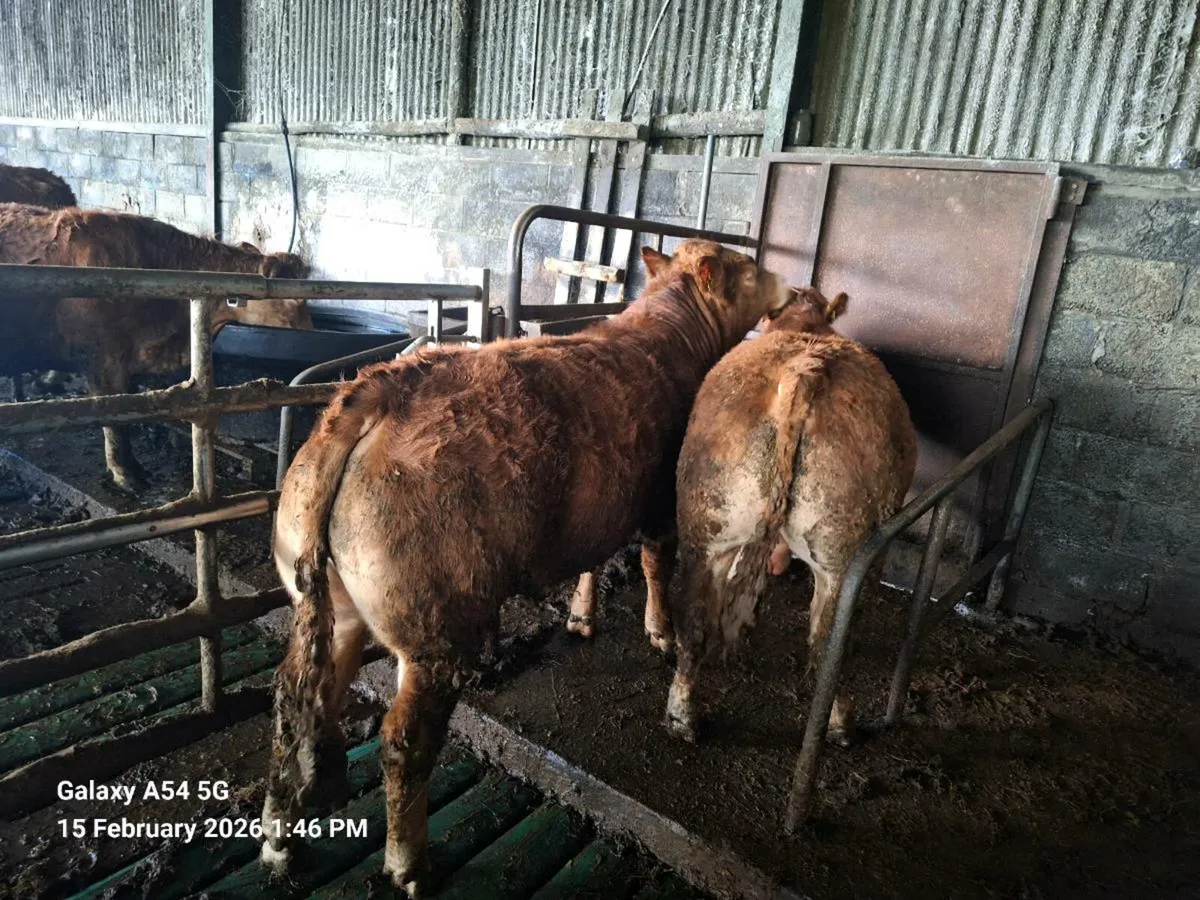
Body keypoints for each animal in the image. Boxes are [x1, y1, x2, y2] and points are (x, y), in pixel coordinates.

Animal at [261, 241, 791, 894]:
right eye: (750, 268)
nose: (790, 285)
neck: (666, 333)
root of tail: (378, 391)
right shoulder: (659, 502)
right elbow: (654, 563)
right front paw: (661, 632)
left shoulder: (605, 501)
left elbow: (596, 559)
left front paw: (582, 617)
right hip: (437, 634)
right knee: (403, 743)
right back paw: (409, 864)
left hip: (333, 608)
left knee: (296, 703)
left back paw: (280, 841)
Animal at [662, 287, 917, 748]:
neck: (805, 328)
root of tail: (803, 369)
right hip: (843, 556)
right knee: (827, 644)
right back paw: (840, 723)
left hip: (706, 526)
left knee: (694, 620)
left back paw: (682, 717)